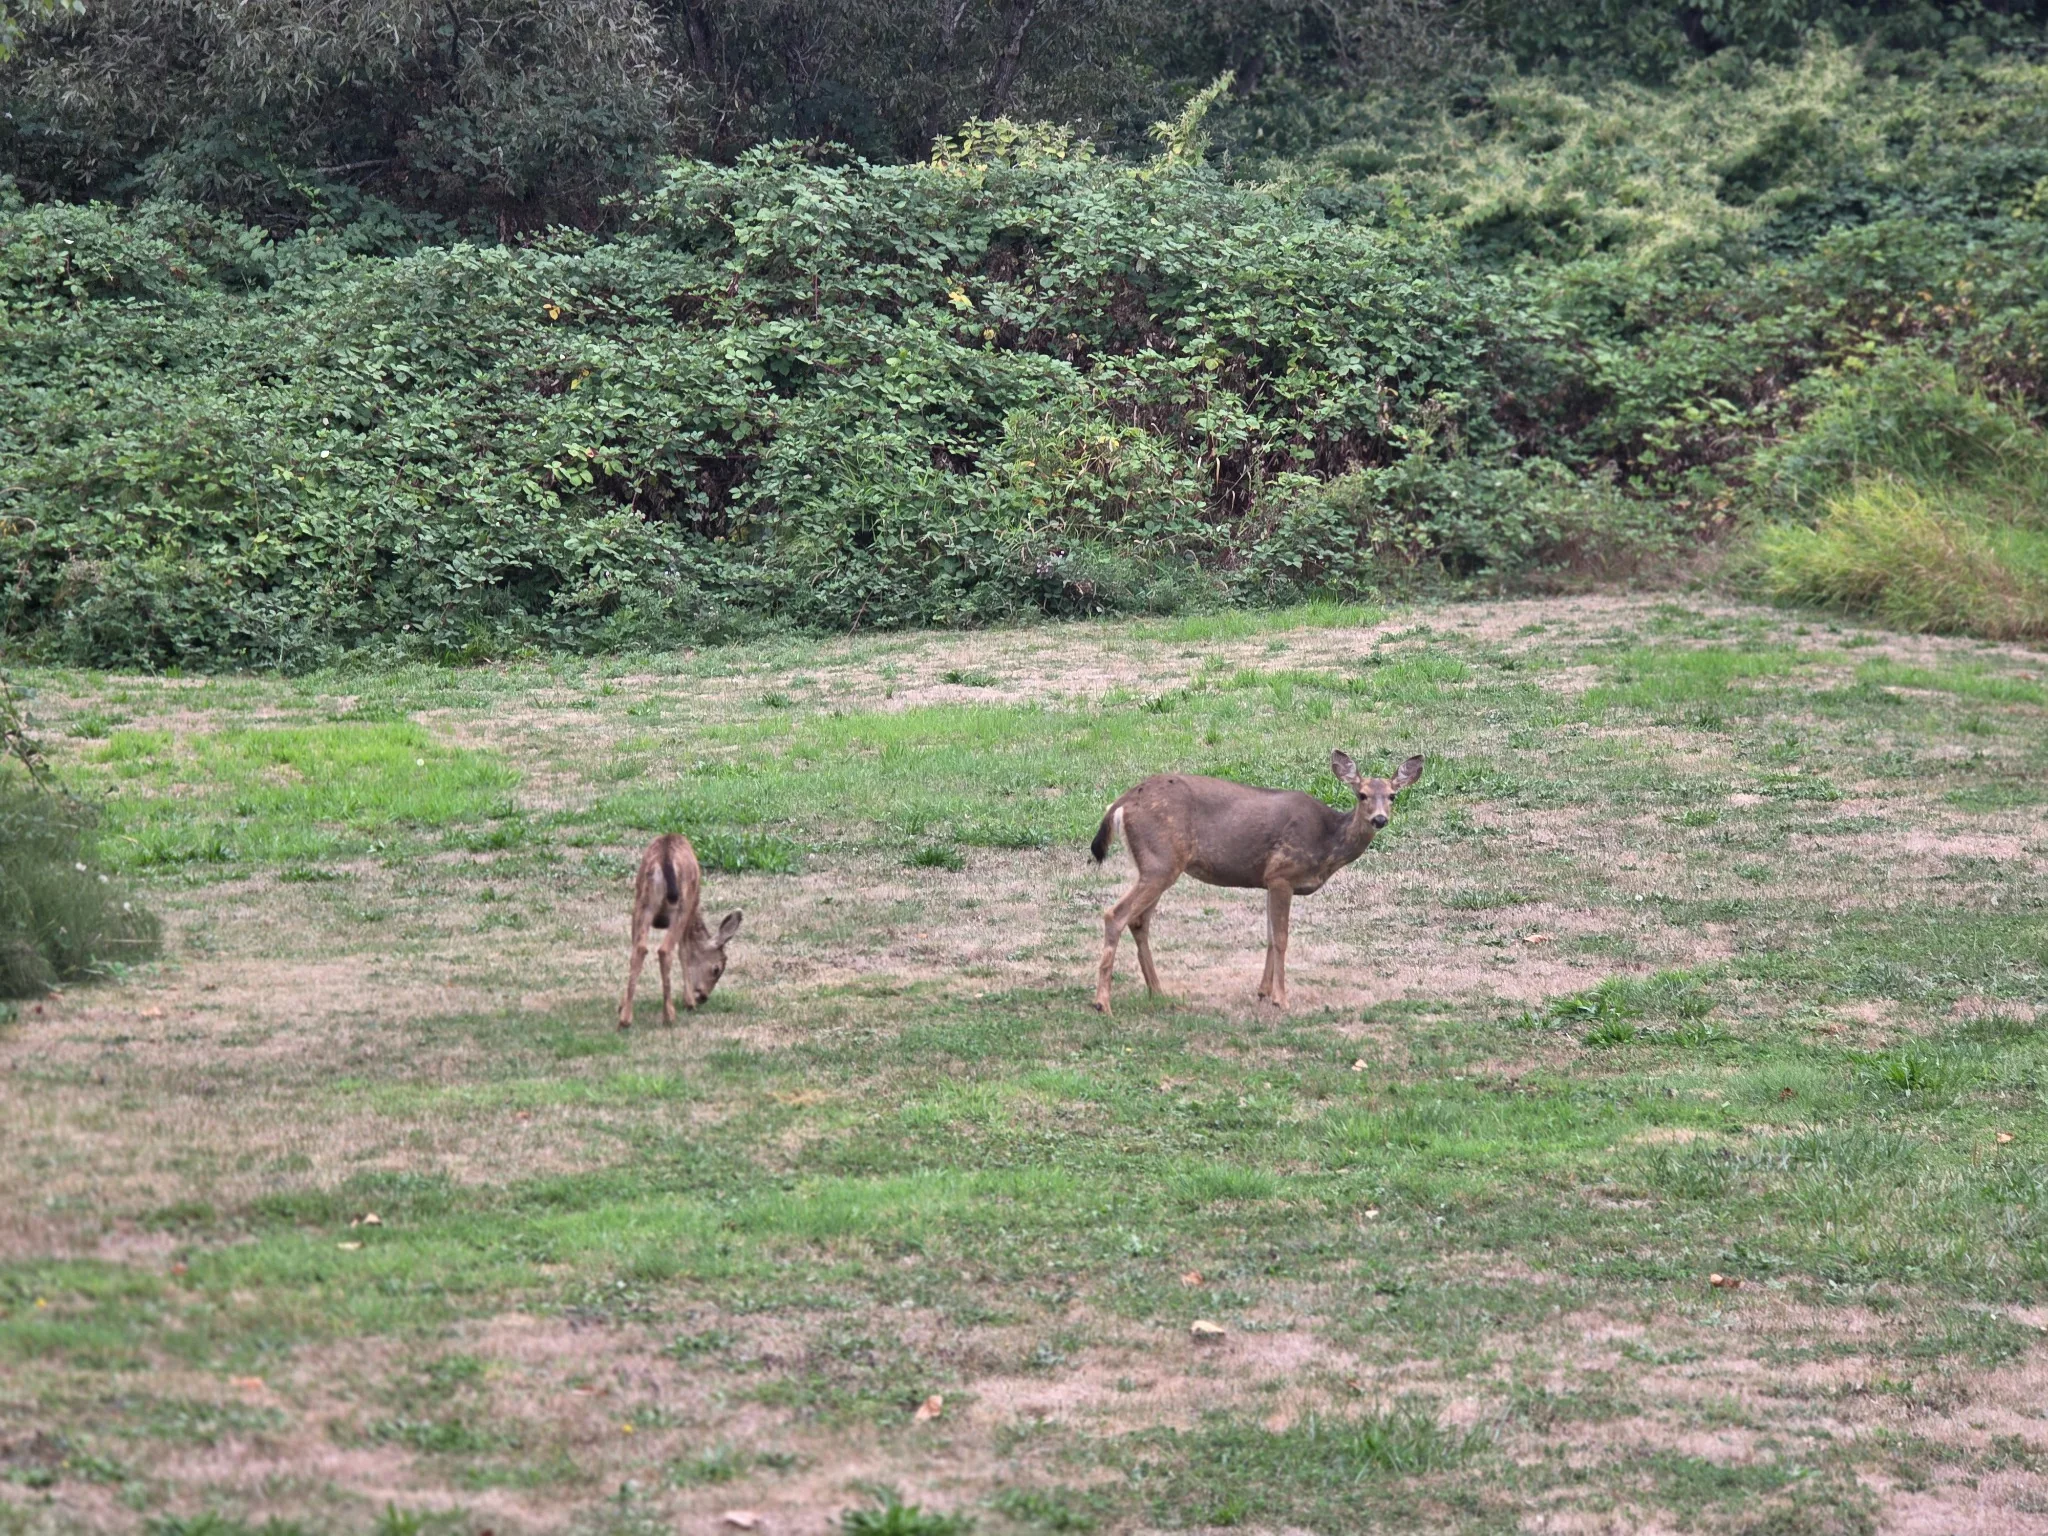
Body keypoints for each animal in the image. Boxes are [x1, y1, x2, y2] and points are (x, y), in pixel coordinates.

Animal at [618, 833, 743, 1028]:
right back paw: (669, 1015)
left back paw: (625, 1018)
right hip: (681, 906)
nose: (703, 997)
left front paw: (621, 1004)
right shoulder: (690, 911)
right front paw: (689, 1001)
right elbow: (685, 952)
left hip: (643, 902)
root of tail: (665, 859)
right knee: (665, 950)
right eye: (717, 969)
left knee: (639, 949)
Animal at [1087, 751, 1423, 1013]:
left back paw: (1158, 991)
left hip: (1157, 865)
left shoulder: (1267, 880)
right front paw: (1281, 999)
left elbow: (1271, 937)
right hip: (1161, 861)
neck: (1326, 842)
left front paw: (1263, 991)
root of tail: (1121, 802)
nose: (1379, 819)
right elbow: (1282, 938)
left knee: (1139, 921)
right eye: (1361, 794)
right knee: (1115, 914)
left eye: (1392, 796)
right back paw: (1103, 1002)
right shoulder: (1282, 873)